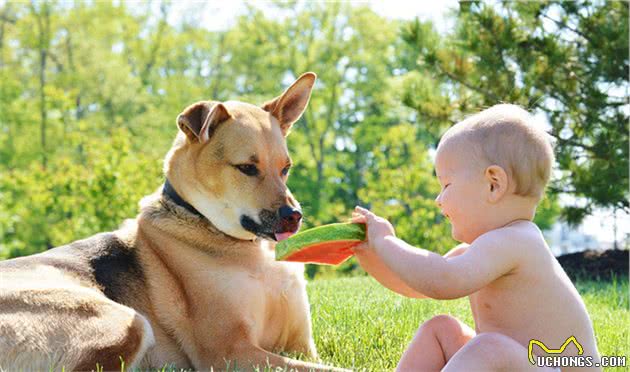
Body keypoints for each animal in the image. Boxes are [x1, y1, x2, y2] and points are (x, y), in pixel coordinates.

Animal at [0, 73, 340, 372]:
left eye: (286, 168)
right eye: (246, 168)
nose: (294, 216)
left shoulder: (302, 346)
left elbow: (326, 362)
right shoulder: (230, 352)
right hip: (125, 322)